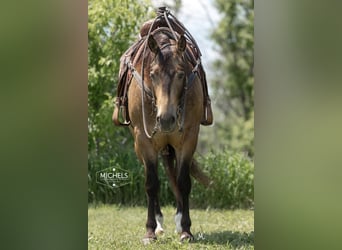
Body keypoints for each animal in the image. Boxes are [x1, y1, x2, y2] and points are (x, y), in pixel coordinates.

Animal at [112, 7, 212, 242]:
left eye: (181, 73)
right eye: (152, 73)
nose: (166, 119)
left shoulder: (188, 138)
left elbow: (183, 181)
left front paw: (185, 229)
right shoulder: (144, 140)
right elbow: (152, 184)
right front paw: (150, 230)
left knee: (173, 173)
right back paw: (158, 223)